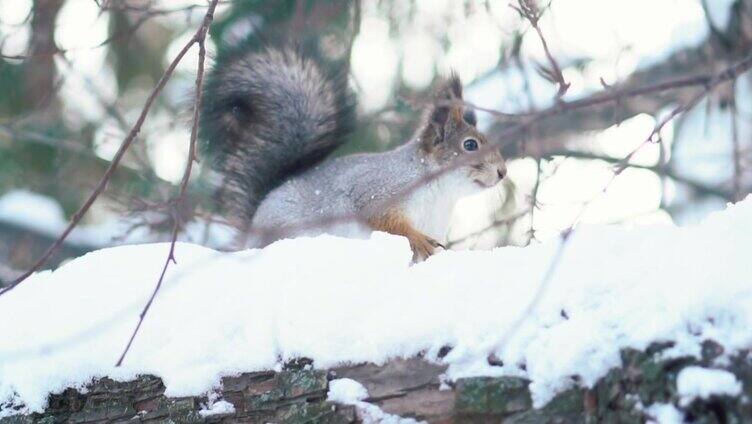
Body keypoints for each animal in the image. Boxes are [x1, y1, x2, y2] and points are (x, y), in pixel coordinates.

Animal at [201, 45, 506, 258]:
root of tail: (251, 232)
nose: (503, 172)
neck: (441, 194)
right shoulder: (378, 189)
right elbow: (384, 220)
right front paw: (417, 239)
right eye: (470, 145)